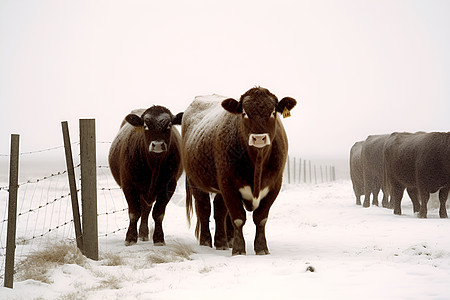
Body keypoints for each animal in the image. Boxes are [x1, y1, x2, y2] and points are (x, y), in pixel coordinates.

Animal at [108, 106, 184, 245]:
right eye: (146, 125)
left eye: (169, 125)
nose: (158, 144)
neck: (154, 164)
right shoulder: (128, 185)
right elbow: (134, 212)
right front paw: (130, 238)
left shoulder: (169, 186)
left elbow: (158, 213)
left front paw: (159, 238)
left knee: (146, 210)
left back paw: (143, 233)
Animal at [181, 86, 298, 255]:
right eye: (245, 113)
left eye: (272, 112)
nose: (259, 138)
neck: (257, 162)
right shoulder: (228, 184)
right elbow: (238, 217)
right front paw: (238, 249)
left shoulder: (275, 184)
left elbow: (260, 217)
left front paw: (261, 248)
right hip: (195, 182)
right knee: (204, 209)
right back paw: (206, 242)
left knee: (219, 210)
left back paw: (223, 242)